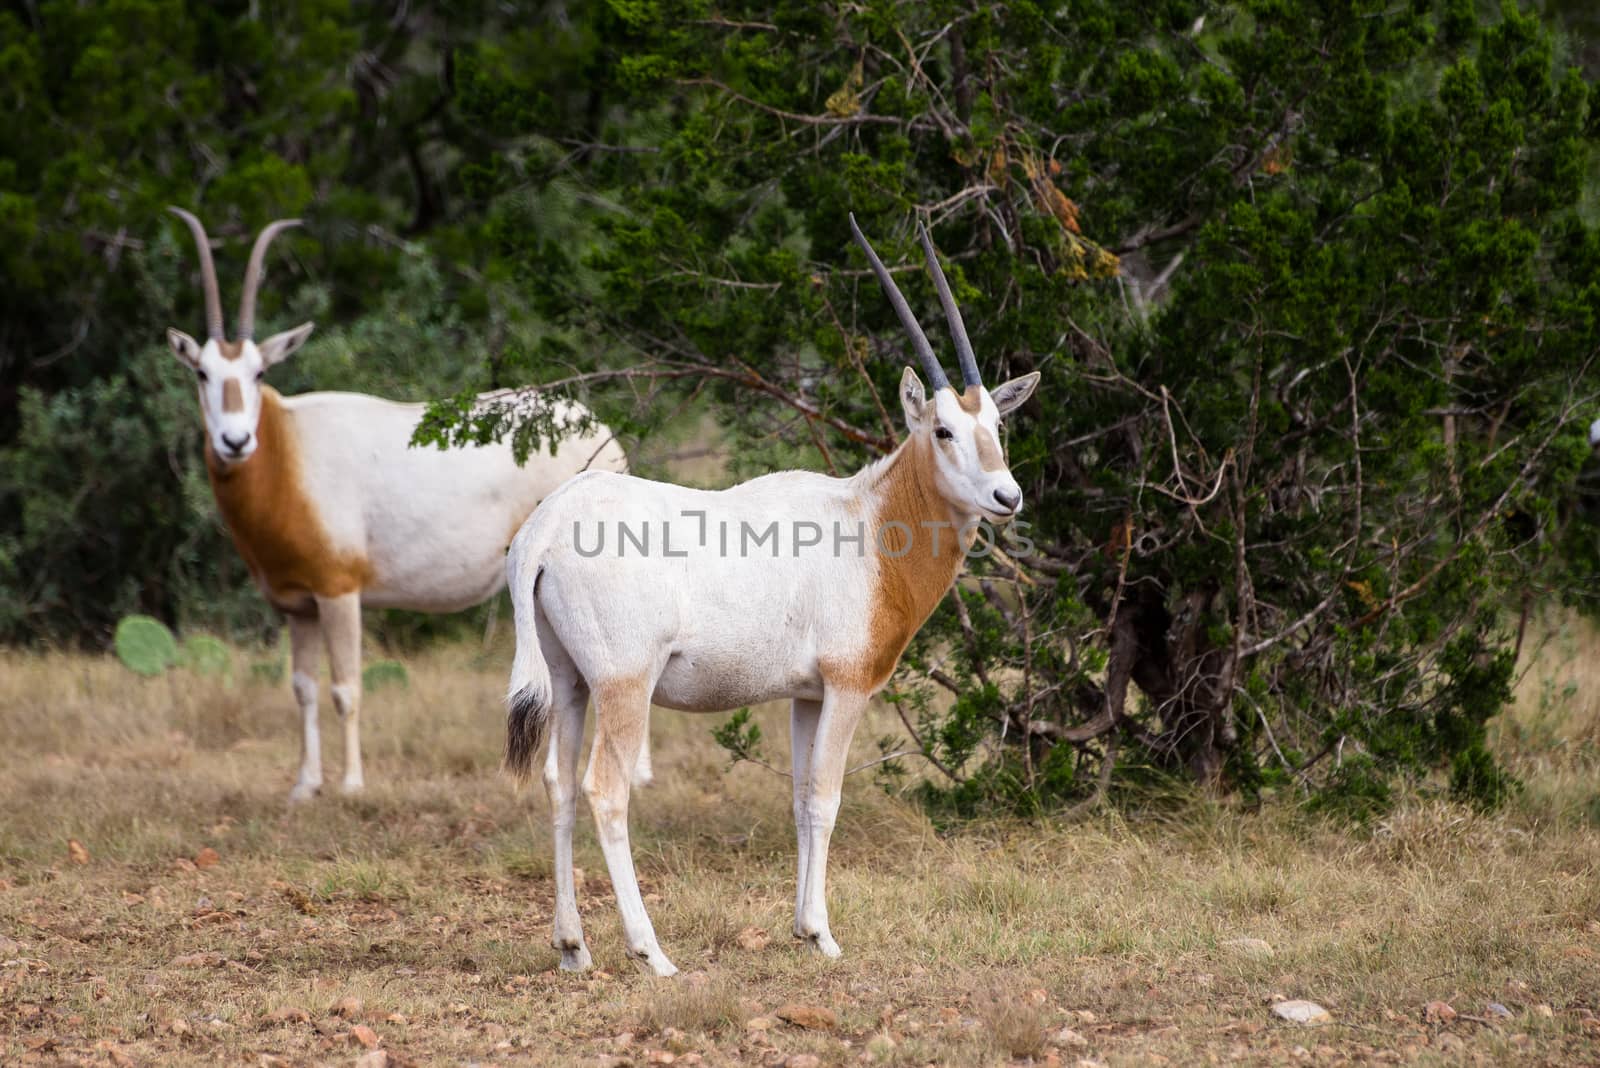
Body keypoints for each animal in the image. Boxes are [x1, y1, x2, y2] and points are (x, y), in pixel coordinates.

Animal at [167, 211, 630, 799]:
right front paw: (304, 785)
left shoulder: (339, 592)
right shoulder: (297, 605)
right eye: (202, 372)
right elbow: (303, 687)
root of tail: (604, 436)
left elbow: (346, 687)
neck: (287, 450)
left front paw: (351, 785)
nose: (234, 441)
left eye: (259, 373)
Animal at [505, 214, 1043, 978]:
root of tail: (547, 526)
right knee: (605, 791)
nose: (1007, 497)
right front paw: (822, 934)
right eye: (942, 429)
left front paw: (800, 927)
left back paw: (573, 946)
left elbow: (796, 798)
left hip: (570, 682)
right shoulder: (847, 687)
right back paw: (651, 952)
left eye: (996, 427)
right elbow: (825, 798)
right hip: (624, 684)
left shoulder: (806, 695)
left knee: (556, 784)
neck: (871, 521)